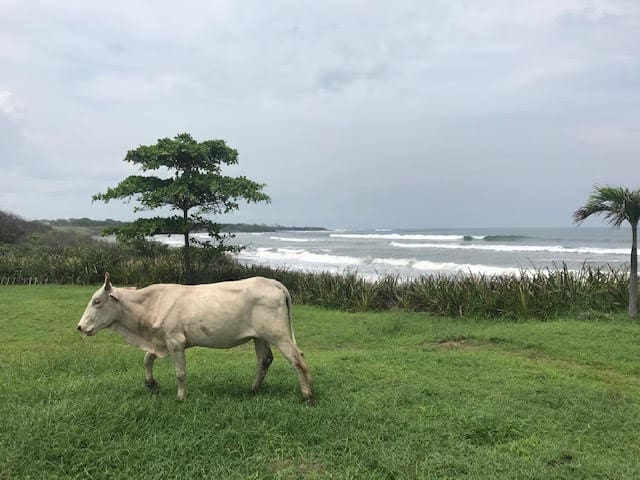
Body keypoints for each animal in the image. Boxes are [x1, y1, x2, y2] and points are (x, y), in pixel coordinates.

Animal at [77, 274, 312, 402]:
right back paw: (253, 390)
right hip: (259, 336)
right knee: (265, 360)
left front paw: (181, 397)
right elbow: (147, 359)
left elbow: (180, 372)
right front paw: (151, 384)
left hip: (278, 333)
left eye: (97, 301)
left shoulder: (175, 342)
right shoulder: (161, 341)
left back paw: (307, 395)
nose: (80, 327)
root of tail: (272, 282)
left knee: (297, 359)